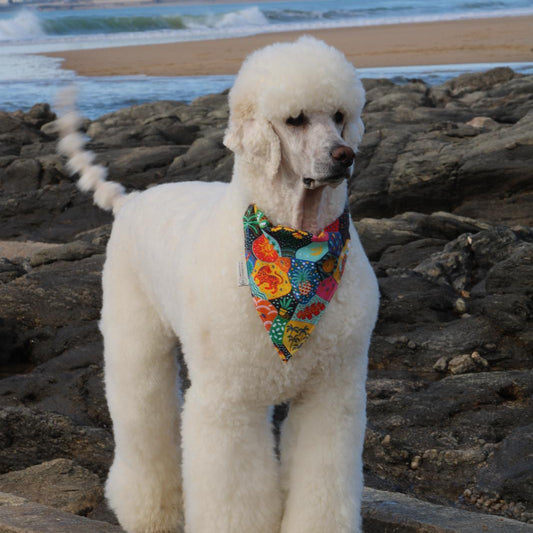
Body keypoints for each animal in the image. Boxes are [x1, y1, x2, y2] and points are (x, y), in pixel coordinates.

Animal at [57, 36, 378, 532]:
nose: (344, 156)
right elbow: (232, 494)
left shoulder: (331, 393)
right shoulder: (229, 401)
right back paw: (150, 512)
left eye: (340, 115)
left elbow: (322, 479)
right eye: (295, 119)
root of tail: (133, 201)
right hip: (135, 337)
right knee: (143, 415)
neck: (296, 244)